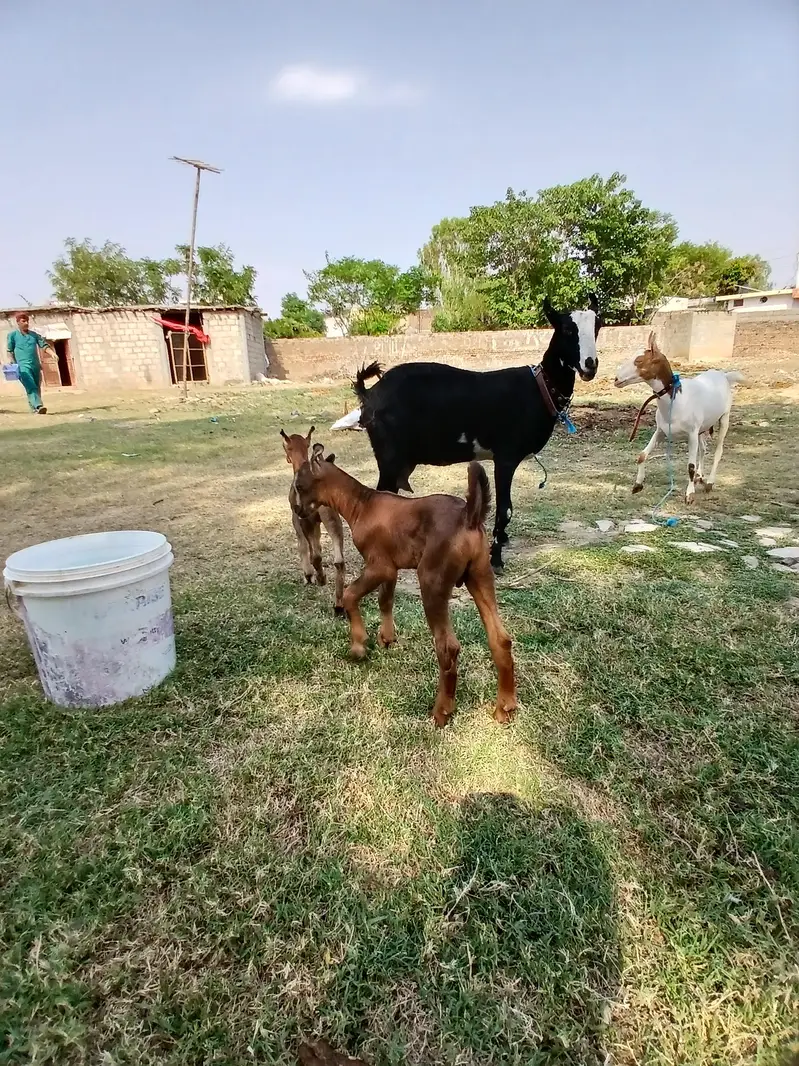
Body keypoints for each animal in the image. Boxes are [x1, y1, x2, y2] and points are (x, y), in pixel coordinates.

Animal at [281, 426, 346, 614]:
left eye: (285, 446)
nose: (287, 458)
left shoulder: (298, 518)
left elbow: (303, 545)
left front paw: (308, 575)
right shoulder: (316, 521)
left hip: (309, 519)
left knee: (316, 555)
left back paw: (321, 579)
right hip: (333, 519)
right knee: (339, 561)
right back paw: (338, 604)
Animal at [293, 445, 517, 728]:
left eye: (299, 485)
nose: (297, 510)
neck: (361, 503)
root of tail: (469, 515)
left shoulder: (379, 567)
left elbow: (350, 595)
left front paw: (358, 645)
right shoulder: (391, 569)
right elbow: (385, 600)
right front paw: (387, 637)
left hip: (432, 581)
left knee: (447, 648)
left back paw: (442, 711)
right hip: (481, 576)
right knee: (500, 639)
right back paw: (505, 708)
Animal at [330, 295, 601, 570]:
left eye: (597, 326)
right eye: (567, 329)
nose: (590, 364)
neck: (540, 388)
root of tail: (369, 395)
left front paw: (502, 542)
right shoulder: (506, 456)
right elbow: (505, 508)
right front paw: (496, 558)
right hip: (389, 456)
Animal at [614, 331, 744, 503]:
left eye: (639, 360)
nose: (616, 379)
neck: (677, 402)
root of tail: (724, 376)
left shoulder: (691, 433)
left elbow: (690, 466)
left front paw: (689, 495)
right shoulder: (661, 430)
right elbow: (642, 455)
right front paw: (637, 485)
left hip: (724, 417)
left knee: (718, 450)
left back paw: (709, 483)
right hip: (702, 428)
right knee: (703, 449)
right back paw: (700, 476)